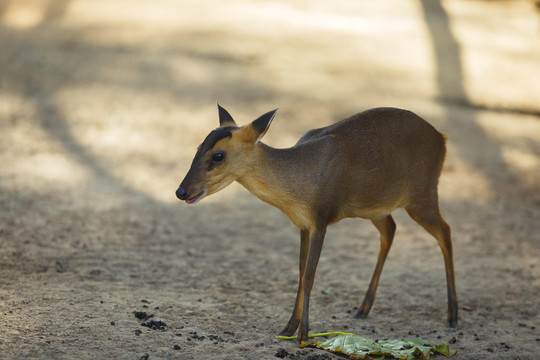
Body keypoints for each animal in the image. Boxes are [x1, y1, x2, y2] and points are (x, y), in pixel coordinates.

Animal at [175, 103, 458, 340]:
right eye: (198, 148)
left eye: (218, 156)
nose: (181, 191)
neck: (300, 184)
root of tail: (442, 139)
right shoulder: (303, 224)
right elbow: (300, 272)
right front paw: (288, 328)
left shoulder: (322, 217)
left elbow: (310, 274)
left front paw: (304, 335)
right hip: (376, 209)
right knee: (390, 231)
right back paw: (363, 308)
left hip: (423, 194)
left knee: (445, 231)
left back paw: (453, 315)